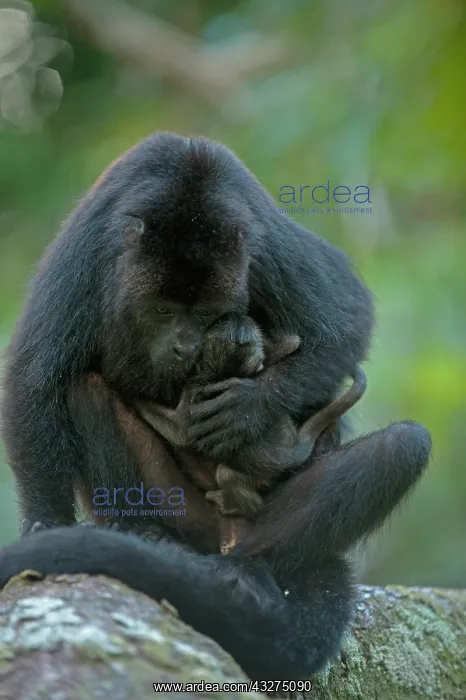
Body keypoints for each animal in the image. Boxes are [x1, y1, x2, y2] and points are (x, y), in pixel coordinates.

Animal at [0, 131, 375, 539]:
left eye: (206, 312)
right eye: (163, 310)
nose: (184, 346)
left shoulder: (264, 244)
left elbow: (346, 325)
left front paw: (247, 408)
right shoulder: (89, 251)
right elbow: (34, 378)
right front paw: (47, 518)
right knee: (87, 389)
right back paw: (135, 523)